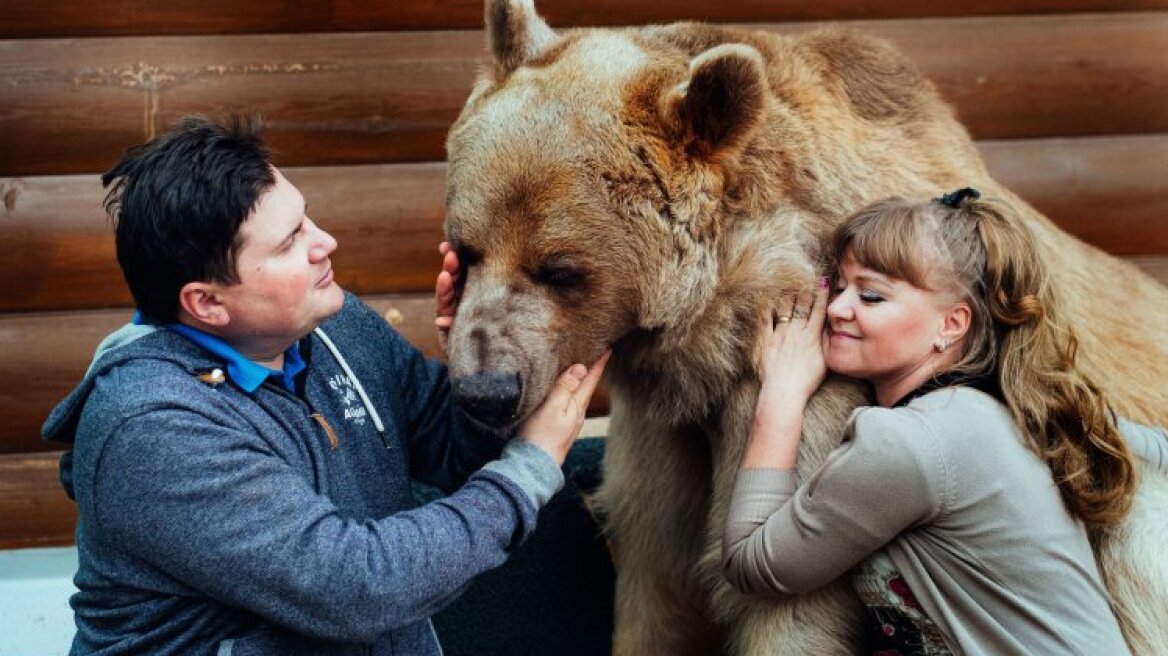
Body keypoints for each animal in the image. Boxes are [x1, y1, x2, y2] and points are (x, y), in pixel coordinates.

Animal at [439, 2, 1168, 648]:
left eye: (560, 269)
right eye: (465, 249)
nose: (485, 391)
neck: (709, 336)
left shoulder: (817, 399)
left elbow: (784, 596)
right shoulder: (664, 432)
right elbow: (659, 583)